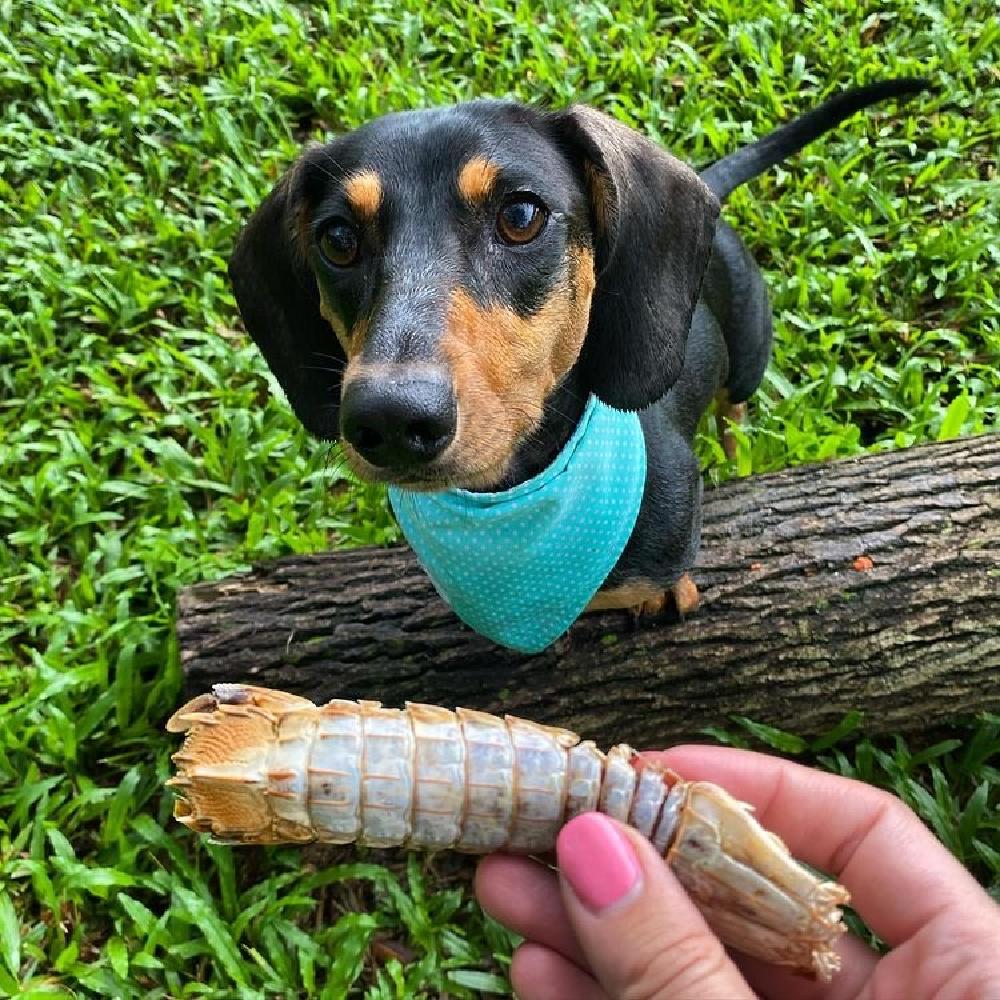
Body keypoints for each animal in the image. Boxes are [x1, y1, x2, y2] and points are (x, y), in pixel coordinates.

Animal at [230, 78, 930, 653]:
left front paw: (669, 595)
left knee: (734, 402)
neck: (516, 498)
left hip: (751, 350)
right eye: (338, 239)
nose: (391, 420)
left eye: (521, 215)